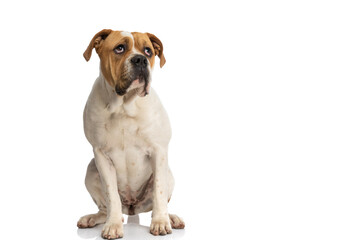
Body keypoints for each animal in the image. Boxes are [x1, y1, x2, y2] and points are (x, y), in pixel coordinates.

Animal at [78, 29, 186, 238]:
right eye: (119, 48)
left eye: (148, 51)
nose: (140, 60)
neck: (123, 106)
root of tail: (132, 208)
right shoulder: (101, 155)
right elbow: (111, 195)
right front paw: (112, 225)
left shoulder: (159, 151)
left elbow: (159, 191)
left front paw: (161, 222)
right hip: (91, 170)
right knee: (106, 208)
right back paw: (94, 219)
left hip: (169, 174)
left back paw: (171, 218)